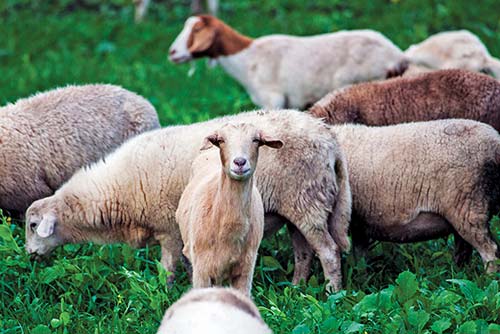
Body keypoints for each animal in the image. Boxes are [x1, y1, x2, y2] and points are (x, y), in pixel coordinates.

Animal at [290, 120, 500, 274]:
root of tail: (495, 142)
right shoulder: (359, 223)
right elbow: (360, 256)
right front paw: (361, 280)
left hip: (469, 207)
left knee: (490, 252)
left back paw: (487, 283)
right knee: (465, 250)